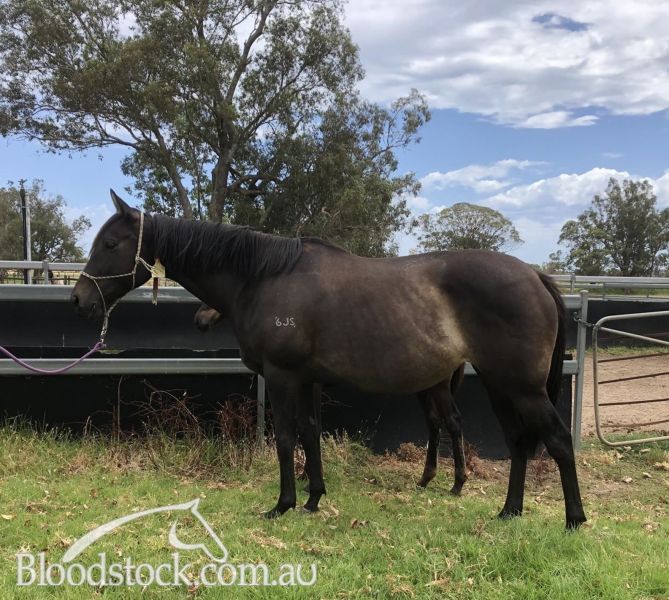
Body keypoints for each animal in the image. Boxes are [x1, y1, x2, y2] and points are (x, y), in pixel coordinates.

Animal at [195, 302, 468, 494]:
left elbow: (312, 428)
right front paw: (307, 477)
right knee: (433, 422)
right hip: (425, 388)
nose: (200, 319)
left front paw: (308, 479)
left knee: (453, 421)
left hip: (438, 388)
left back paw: (457, 485)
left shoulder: (310, 386)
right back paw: (424, 480)